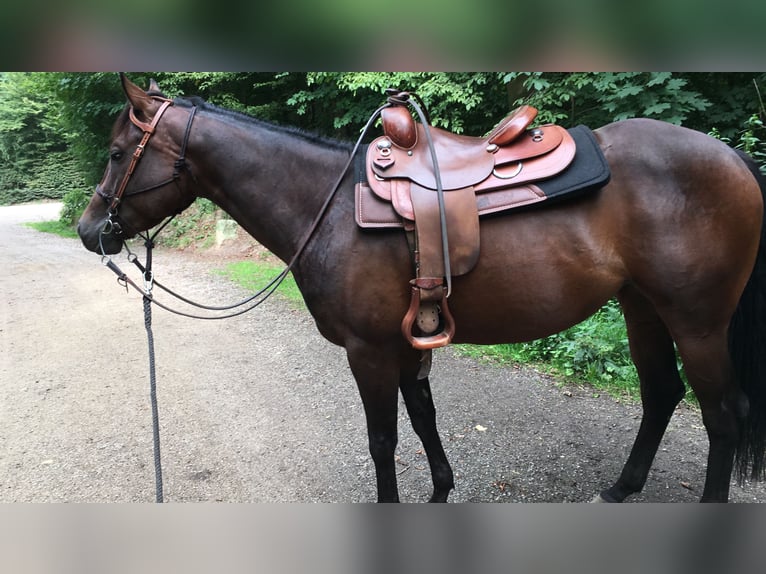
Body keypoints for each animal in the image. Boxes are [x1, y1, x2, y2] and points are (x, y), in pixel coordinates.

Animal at [78, 75, 766, 502]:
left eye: (116, 153)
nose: (89, 230)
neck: (328, 206)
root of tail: (731, 157)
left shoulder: (370, 350)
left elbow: (383, 440)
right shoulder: (409, 341)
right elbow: (423, 416)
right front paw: (440, 488)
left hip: (698, 321)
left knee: (724, 414)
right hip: (642, 307)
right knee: (661, 394)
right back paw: (622, 488)